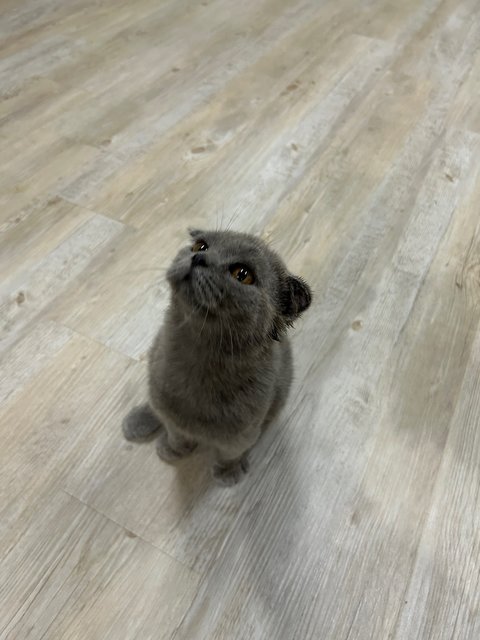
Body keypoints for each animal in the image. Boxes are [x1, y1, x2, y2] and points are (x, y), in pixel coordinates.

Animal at [124, 230, 312, 484]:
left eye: (242, 274)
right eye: (200, 245)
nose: (199, 258)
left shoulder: (241, 436)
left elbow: (229, 454)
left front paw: (228, 472)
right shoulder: (173, 418)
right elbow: (176, 434)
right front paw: (173, 450)